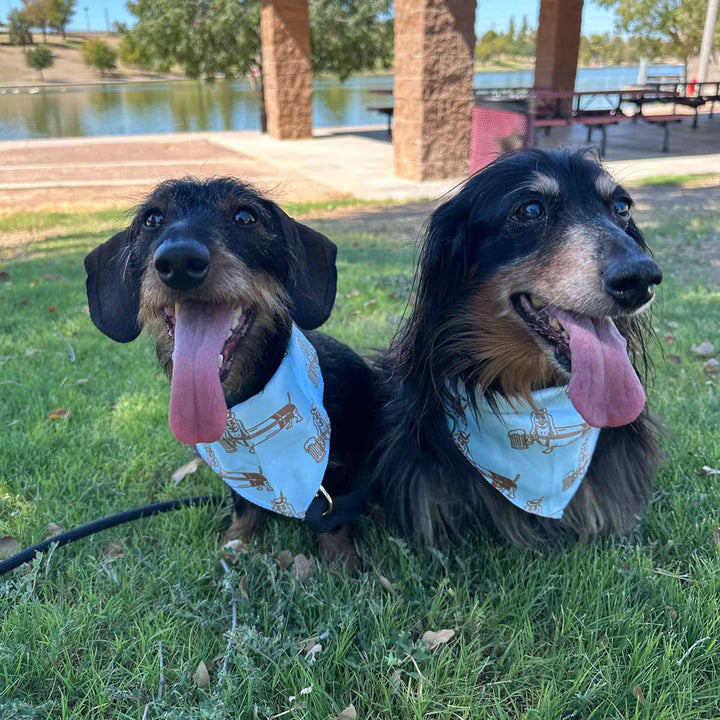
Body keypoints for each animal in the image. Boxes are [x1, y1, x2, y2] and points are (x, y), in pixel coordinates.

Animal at [83, 177, 374, 564]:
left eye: (245, 217)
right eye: (153, 219)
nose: (179, 260)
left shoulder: (341, 476)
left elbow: (333, 518)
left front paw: (341, 562)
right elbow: (244, 504)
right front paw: (239, 540)